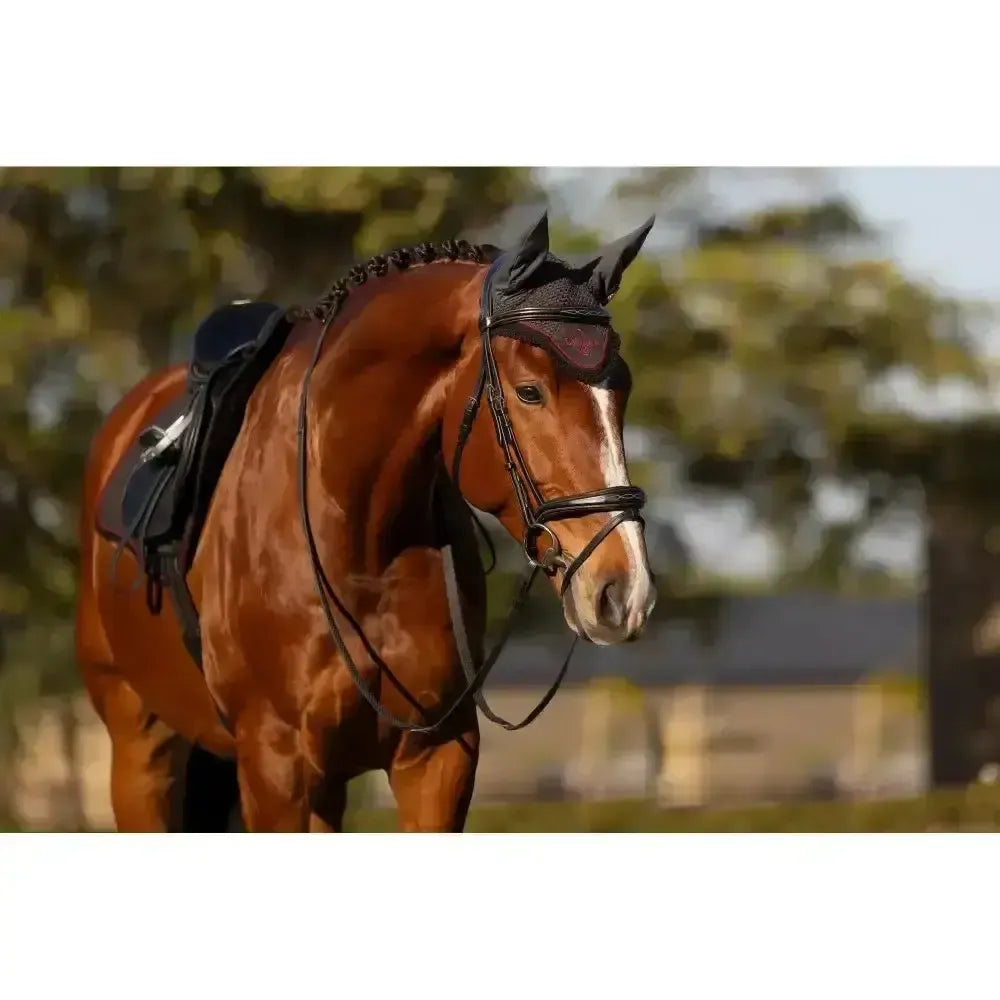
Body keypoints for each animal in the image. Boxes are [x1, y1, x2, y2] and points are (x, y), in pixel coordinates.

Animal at [74, 210, 657, 832]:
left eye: (623, 390)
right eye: (529, 392)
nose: (624, 591)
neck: (358, 539)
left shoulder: (437, 759)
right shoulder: (275, 768)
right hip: (142, 750)